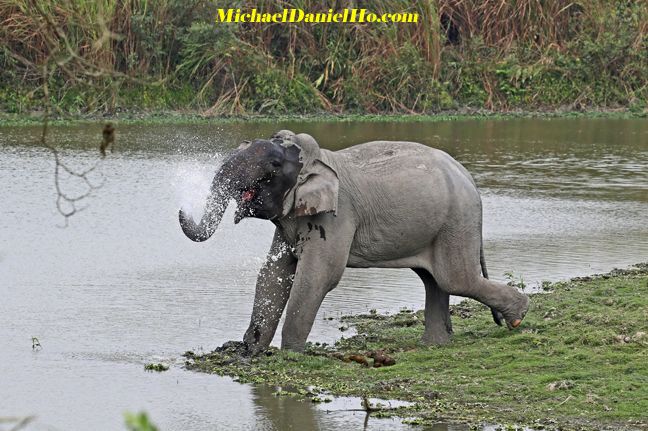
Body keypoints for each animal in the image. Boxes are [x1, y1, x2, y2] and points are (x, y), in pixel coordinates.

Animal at [177, 130, 528, 356]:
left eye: (274, 165)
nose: (180, 209)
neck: (317, 159)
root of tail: (470, 178)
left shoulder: (337, 215)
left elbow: (318, 276)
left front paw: (290, 355)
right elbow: (274, 273)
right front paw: (247, 351)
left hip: (457, 220)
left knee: (455, 278)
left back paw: (519, 316)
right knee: (435, 280)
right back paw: (435, 346)